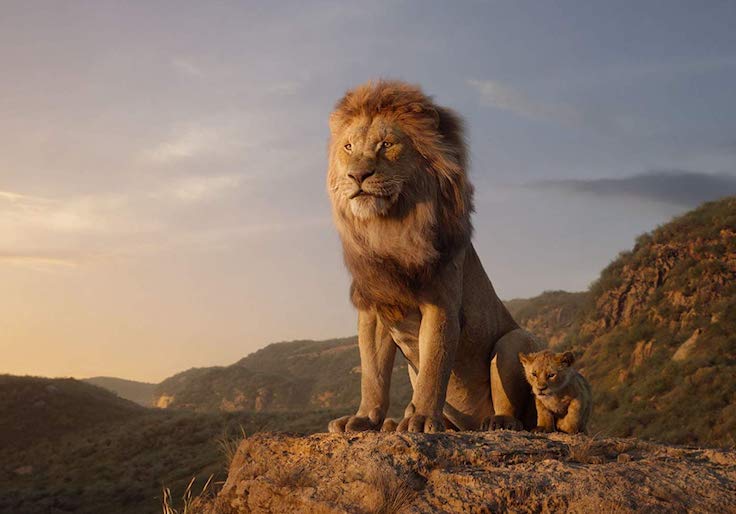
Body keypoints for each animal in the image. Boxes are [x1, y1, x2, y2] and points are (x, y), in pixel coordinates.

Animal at [326, 80, 543, 433]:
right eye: (348, 147)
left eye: (386, 144)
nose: (357, 175)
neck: (389, 228)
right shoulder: (374, 309)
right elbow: (373, 374)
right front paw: (364, 419)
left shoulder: (441, 303)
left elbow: (433, 366)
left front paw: (423, 419)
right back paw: (393, 423)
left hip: (515, 341)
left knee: (515, 407)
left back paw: (497, 422)